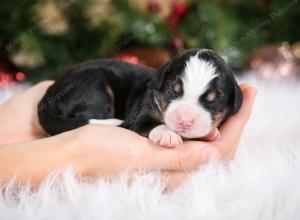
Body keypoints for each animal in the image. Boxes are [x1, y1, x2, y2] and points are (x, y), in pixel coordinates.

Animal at [38, 49, 244, 147]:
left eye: (213, 100)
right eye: (173, 91)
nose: (185, 121)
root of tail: (48, 95)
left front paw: (210, 133)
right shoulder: (139, 116)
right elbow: (149, 124)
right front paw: (167, 134)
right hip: (93, 84)